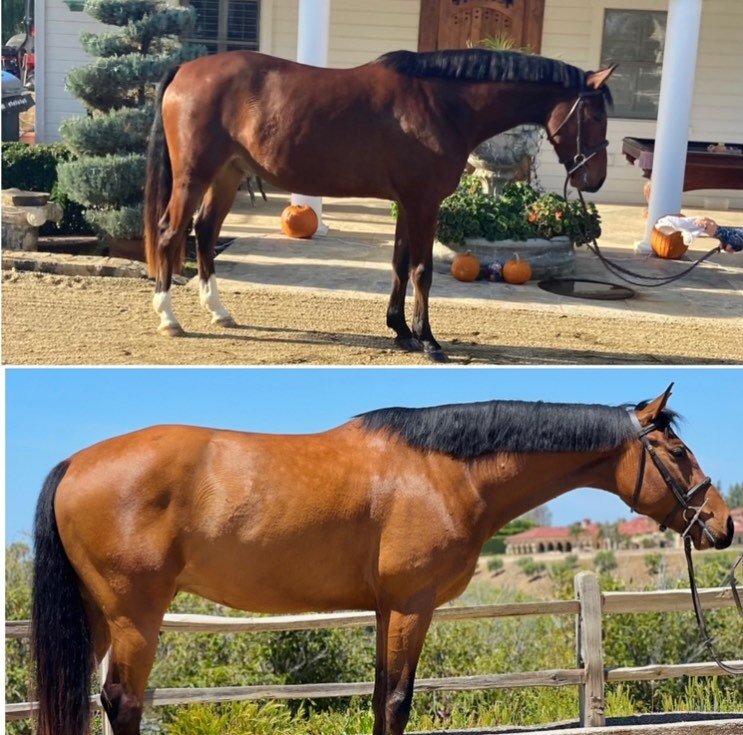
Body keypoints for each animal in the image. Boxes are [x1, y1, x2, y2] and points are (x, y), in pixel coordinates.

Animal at [32, 386, 736, 735]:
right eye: (677, 453)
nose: (725, 525)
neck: (443, 471)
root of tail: (75, 463)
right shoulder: (409, 607)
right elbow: (397, 702)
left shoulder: (381, 611)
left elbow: (377, 701)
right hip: (134, 615)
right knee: (121, 702)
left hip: (99, 617)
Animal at [144, 49, 616, 360]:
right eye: (594, 115)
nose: (594, 179)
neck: (444, 104)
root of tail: (185, 69)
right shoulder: (424, 202)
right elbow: (422, 270)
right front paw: (428, 340)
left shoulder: (407, 203)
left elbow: (399, 264)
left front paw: (401, 331)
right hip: (193, 177)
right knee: (170, 233)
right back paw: (168, 319)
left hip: (227, 175)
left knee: (206, 232)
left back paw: (219, 312)